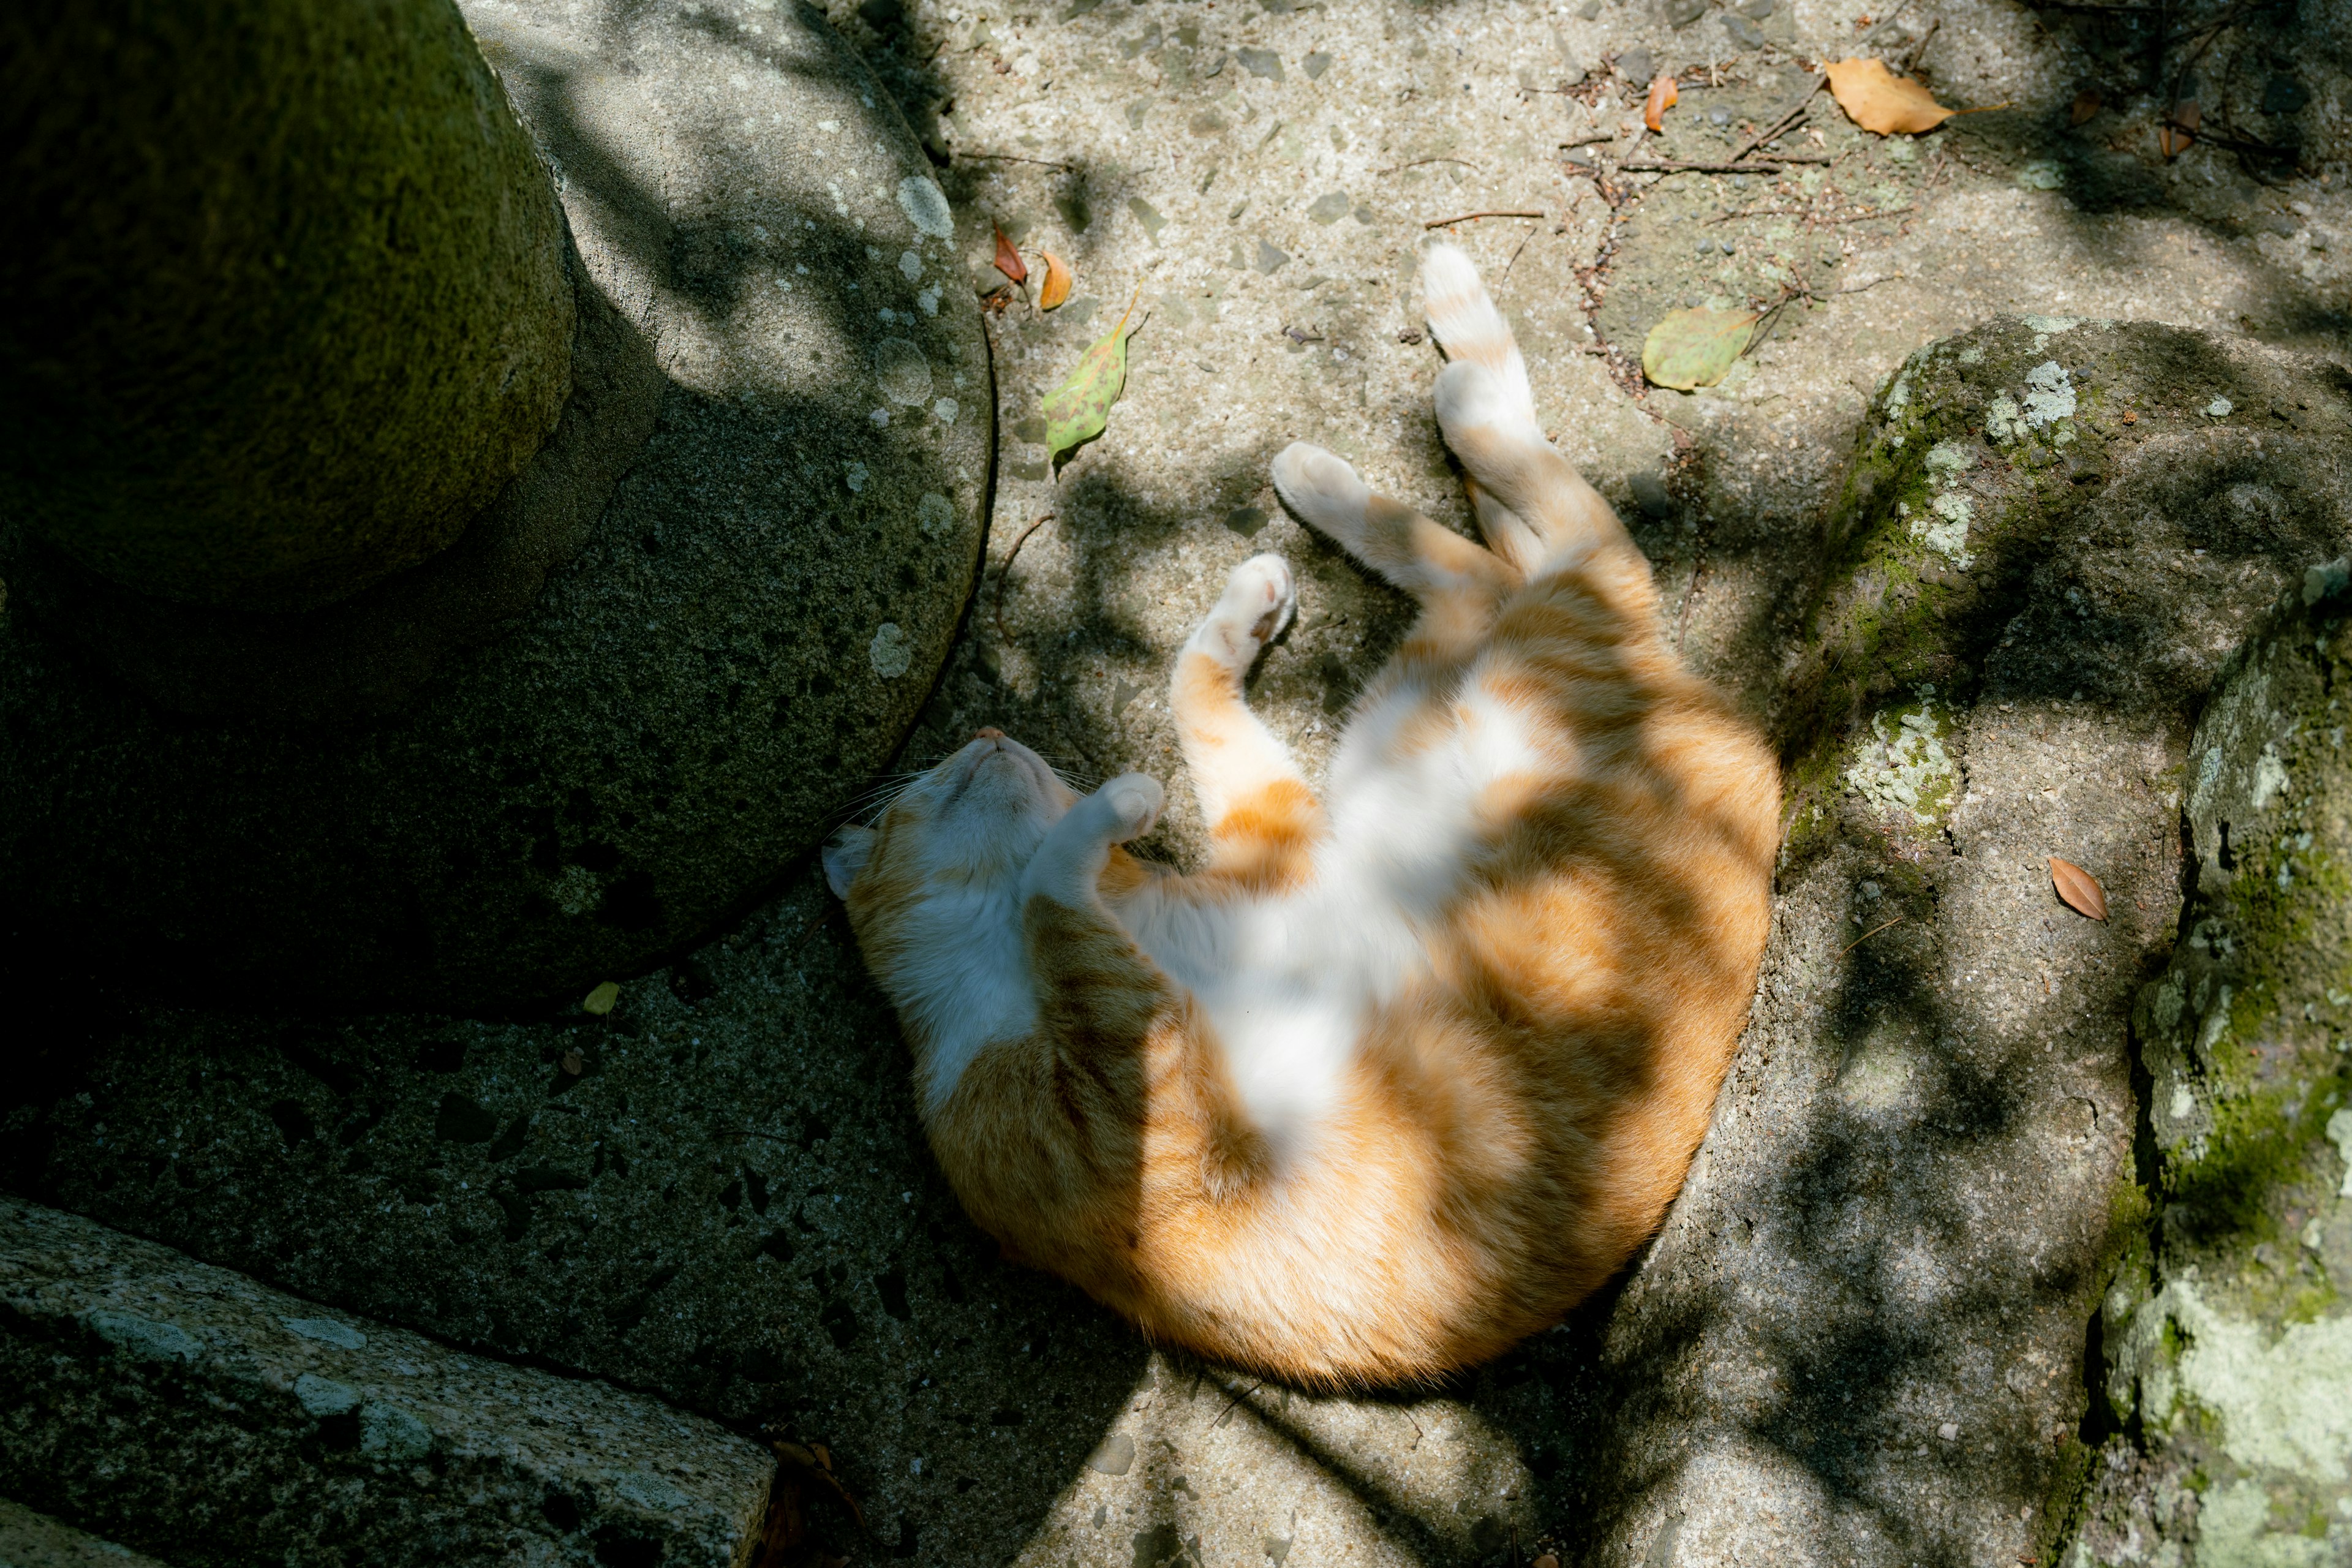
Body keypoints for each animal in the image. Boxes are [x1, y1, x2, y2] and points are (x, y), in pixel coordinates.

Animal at [837, 242, 1768, 1382]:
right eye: (929, 781)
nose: (987, 734)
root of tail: (1677, 678)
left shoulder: (1261, 854)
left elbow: (1181, 710)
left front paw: (1224, 642)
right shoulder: (1127, 1099)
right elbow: (1064, 893)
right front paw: (1113, 805)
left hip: (1475, 694)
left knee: (1550, 538)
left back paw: (1415, 392)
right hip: (1444, 703)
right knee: (1522, 553)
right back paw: (1392, 428)